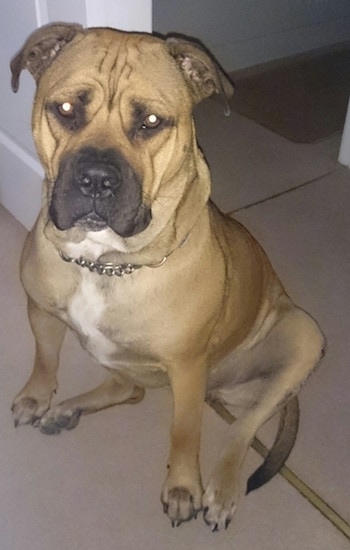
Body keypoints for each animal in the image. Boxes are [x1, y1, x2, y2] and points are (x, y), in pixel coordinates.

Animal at [10, 23, 324, 532]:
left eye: (152, 122)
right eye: (65, 109)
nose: (96, 178)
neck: (105, 261)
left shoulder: (187, 366)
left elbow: (185, 432)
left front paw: (182, 489)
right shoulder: (40, 309)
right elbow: (44, 358)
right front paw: (37, 397)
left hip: (302, 334)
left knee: (244, 427)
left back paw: (222, 490)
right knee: (130, 387)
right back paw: (68, 409)